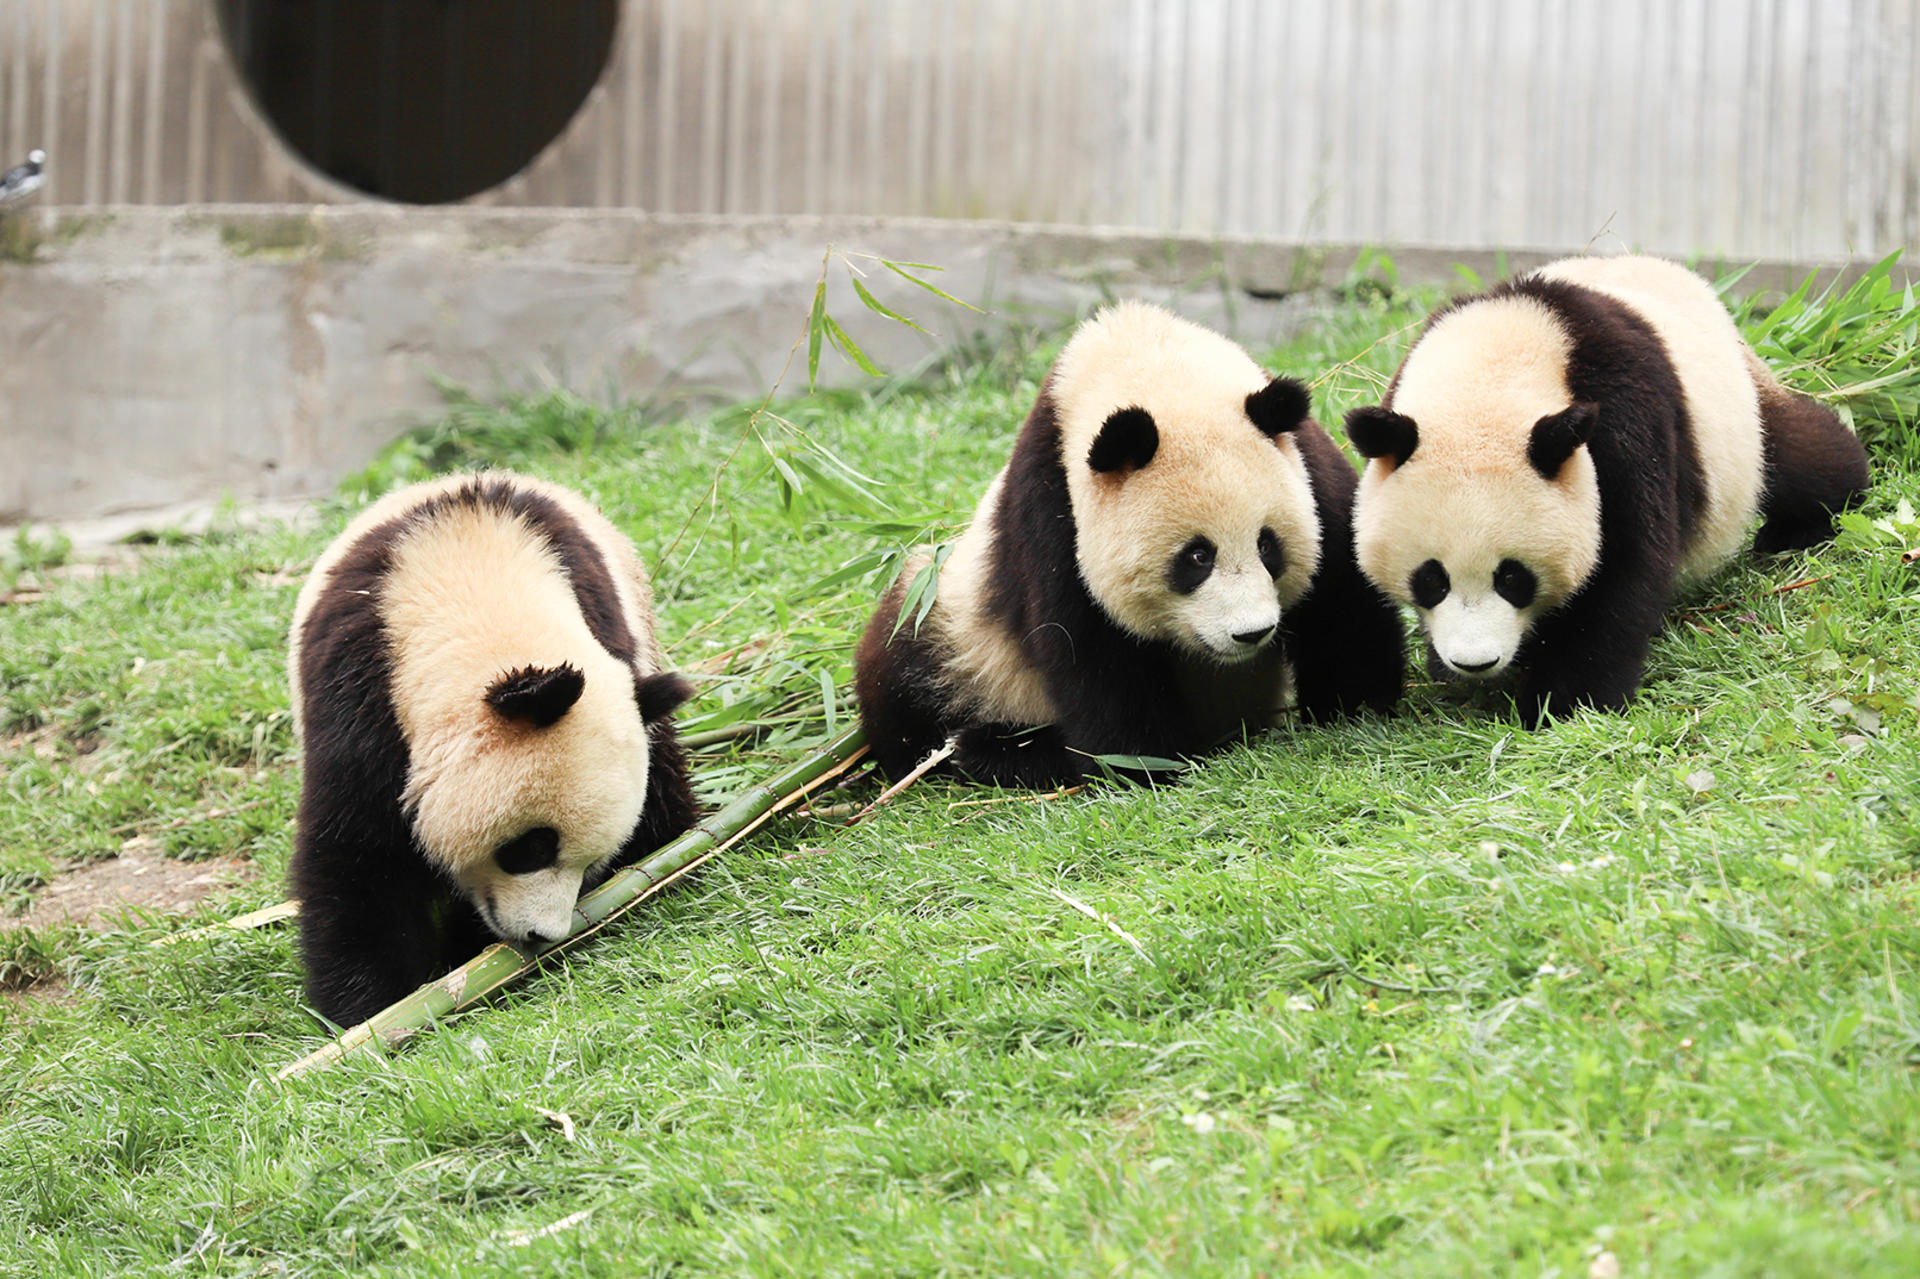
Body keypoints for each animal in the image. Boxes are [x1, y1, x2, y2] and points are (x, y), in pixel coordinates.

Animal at [287, 471, 698, 1026]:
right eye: (531, 848)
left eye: (593, 862)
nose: (541, 934)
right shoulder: (357, 694)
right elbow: (360, 858)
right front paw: (378, 1008)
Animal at [854, 300, 1405, 788]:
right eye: (1196, 557)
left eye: (1269, 546)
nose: (1252, 634)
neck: (1148, 363)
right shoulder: (1053, 512)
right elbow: (1090, 649)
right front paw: (1146, 761)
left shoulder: (1306, 465)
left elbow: (1341, 596)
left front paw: (1354, 706)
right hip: (956, 629)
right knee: (903, 679)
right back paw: (994, 751)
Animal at [1346, 253, 1870, 725]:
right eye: (1431, 579)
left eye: (1513, 577)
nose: (1476, 661)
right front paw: (1447, 667)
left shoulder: (1624, 421)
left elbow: (1621, 567)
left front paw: (1566, 702)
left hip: (1735, 417)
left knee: (1796, 455)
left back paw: (1811, 518)